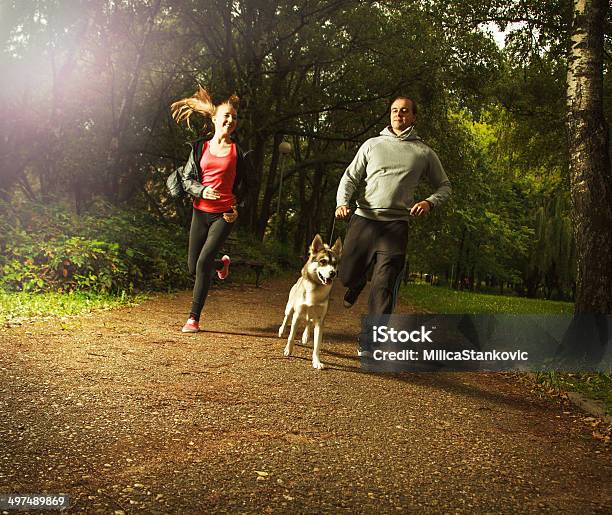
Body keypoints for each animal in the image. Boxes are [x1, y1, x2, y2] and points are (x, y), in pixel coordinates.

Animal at [280, 234, 342, 370]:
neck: (315, 289)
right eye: (323, 261)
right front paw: (288, 350)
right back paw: (281, 331)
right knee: (286, 318)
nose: (333, 273)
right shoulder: (297, 315)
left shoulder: (320, 320)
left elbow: (317, 346)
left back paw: (305, 336)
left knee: (309, 322)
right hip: (289, 307)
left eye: (335, 264)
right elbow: (291, 336)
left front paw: (316, 361)